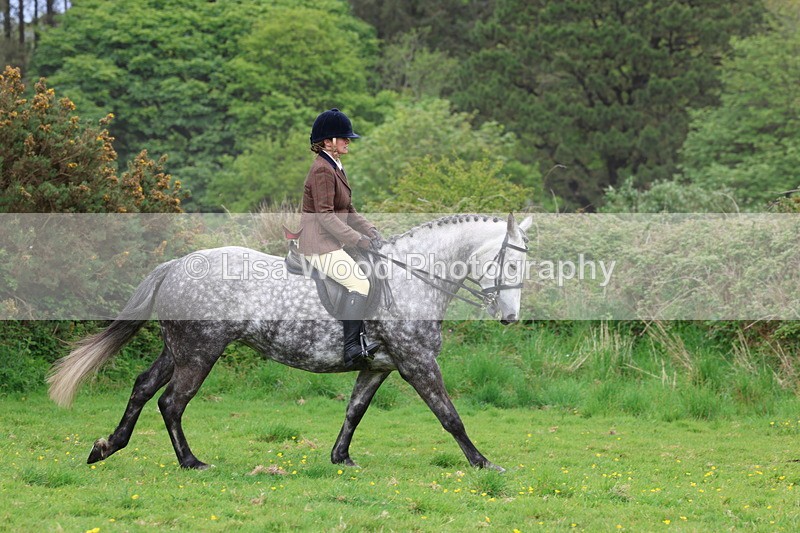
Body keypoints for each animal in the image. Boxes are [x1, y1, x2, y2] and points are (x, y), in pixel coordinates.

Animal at [47, 213, 533, 471]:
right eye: (509, 265)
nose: (509, 318)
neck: (412, 279)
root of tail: (176, 264)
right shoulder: (417, 362)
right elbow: (450, 416)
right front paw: (483, 463)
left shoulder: (378, 366)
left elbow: (354, 410)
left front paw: (341, 458)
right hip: (201, 352)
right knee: (171, 402)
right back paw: (191, 462)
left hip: (177, 349)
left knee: (143, 387)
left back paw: (107, 447)